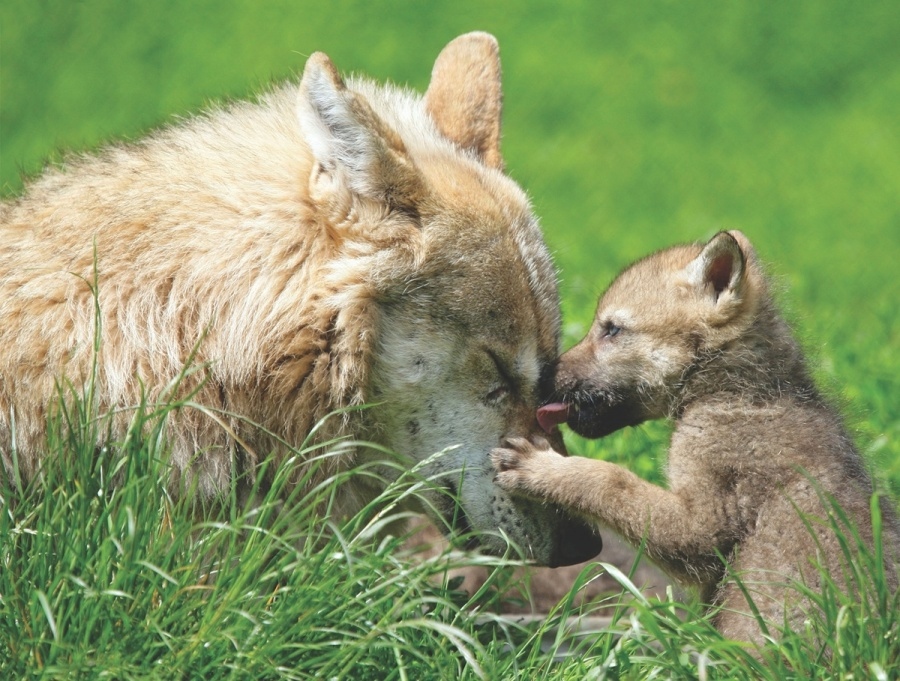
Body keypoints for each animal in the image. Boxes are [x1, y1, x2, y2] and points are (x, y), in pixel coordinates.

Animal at [496, 231, 896, 640]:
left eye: (612, 329)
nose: (544, 378)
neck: (736, 391)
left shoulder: (703, 525)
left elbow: (610, 479)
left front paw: (542, 468)